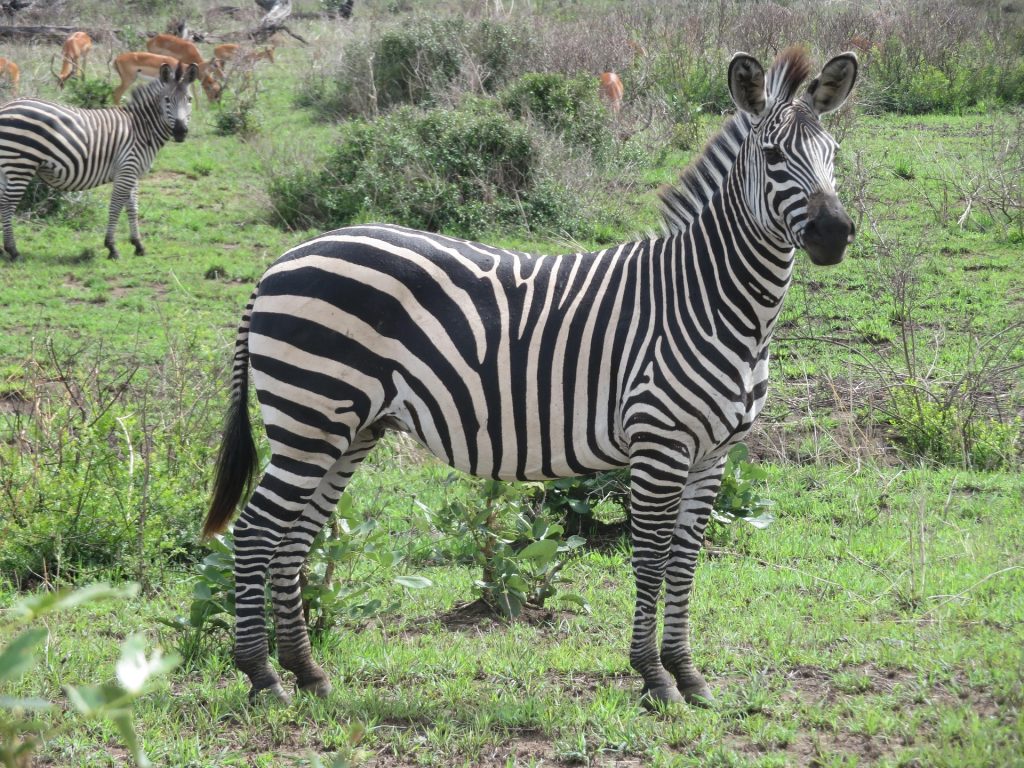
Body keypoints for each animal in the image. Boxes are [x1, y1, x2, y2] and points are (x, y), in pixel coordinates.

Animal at [0, 61, 197, 261]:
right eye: (167, 100)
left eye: (189, 99)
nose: (181, 131)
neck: (141, 128)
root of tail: (7, 106)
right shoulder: (126, 169)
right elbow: (116, 207)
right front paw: (112, 247)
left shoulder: (132, 172)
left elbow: (132, 207)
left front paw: (138, 245)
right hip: (21, 165)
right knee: (8, 203)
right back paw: (13, 250)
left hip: (6, 168)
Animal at [204, 47, 858, 706]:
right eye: (772, 156)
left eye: (833, 154)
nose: (834, 233)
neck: (713, 300)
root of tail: (283, 261)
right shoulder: (659, 443)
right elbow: (651, 559)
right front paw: (654, 676)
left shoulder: (714, 452)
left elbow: (684, 562)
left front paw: (688, 673)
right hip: (309, 416)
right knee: (256, 530)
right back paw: (262, 676)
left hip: (350, 427)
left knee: (294, 538)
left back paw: (308, 673)